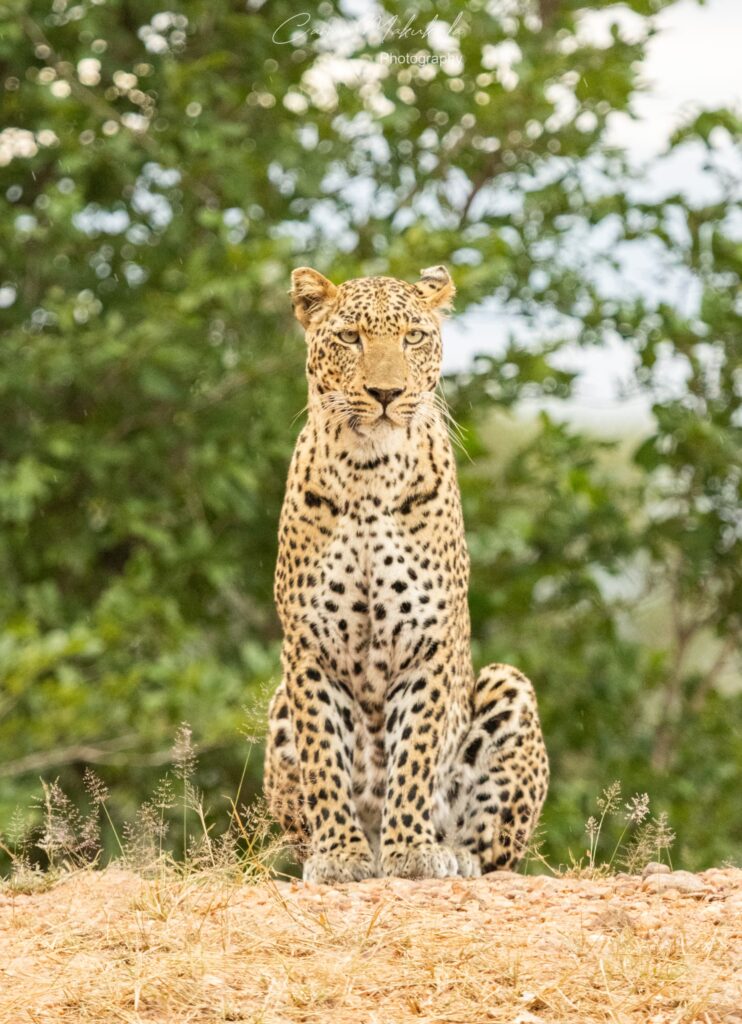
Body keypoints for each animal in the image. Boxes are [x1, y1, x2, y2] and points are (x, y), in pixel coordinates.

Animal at [263, 265, 549, 883]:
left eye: (413, 337)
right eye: (350, 338)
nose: (387, 394)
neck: (369, 470)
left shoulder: (429, 639)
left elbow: (415, 752)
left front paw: (413, 851)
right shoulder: (308, 645)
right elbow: (324, 755)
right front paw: (340, 856)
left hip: (508, 685)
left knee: (491, 851)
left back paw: (452, 854)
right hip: (277, 706)